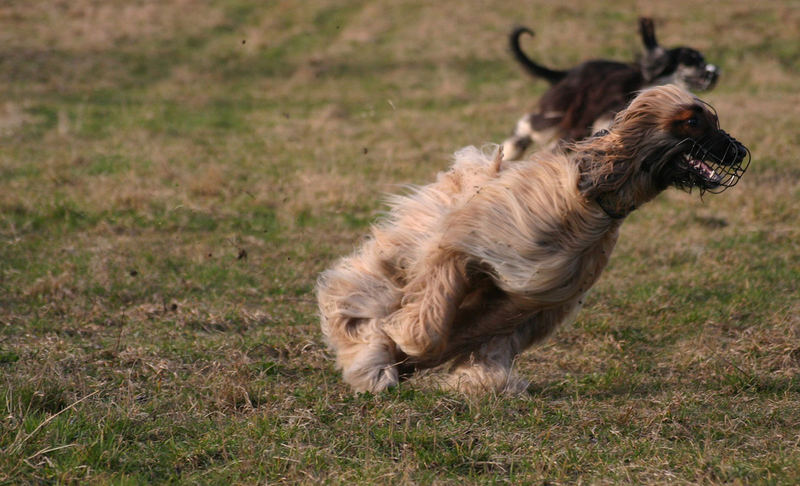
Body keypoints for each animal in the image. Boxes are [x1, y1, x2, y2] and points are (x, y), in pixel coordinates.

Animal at [316, 84, 748, 394]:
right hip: (419, 236)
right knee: (362, 285)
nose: (740, 151)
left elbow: (466, 336)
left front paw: (458, 374)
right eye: (693, 122)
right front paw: (391, 351)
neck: (590, 197)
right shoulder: (462, 247)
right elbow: (429, 329)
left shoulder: (531, 299)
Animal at [500, 17, 720, 159]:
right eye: (690, 61)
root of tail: (569, 72)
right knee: (531, 124)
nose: (715, 73)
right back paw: (512, 149)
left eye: (703, 60)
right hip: (566, 109)